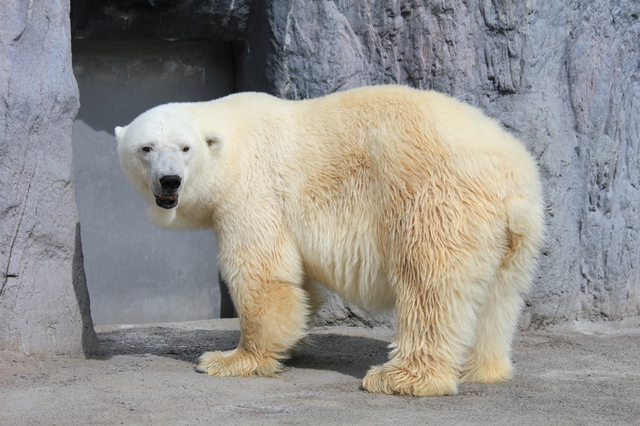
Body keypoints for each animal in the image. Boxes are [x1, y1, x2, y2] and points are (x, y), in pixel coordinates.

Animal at [115, 84, 544, 396]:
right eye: (145, 148)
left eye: (185, 148)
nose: (169, 180)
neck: (231, 137)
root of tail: (511, 176)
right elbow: (298, 282)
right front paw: (293, 340)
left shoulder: (253, 190)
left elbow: (260, 272)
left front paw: (229, 360)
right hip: (516, 234)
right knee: (498, 296)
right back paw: (480, 369)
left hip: (435, 199)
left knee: (429, 285)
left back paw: (400, 377)